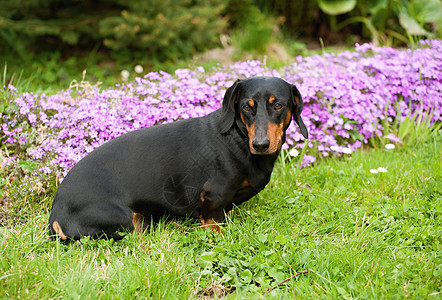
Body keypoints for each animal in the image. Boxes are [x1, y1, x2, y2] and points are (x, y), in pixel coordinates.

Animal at [47, 75, 308, 241]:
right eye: (246, 107)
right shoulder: (214, 196)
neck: (238, 137)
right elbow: (214, 221)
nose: (261, 145)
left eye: (278, 106)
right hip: (123, 219)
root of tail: (56, 213)